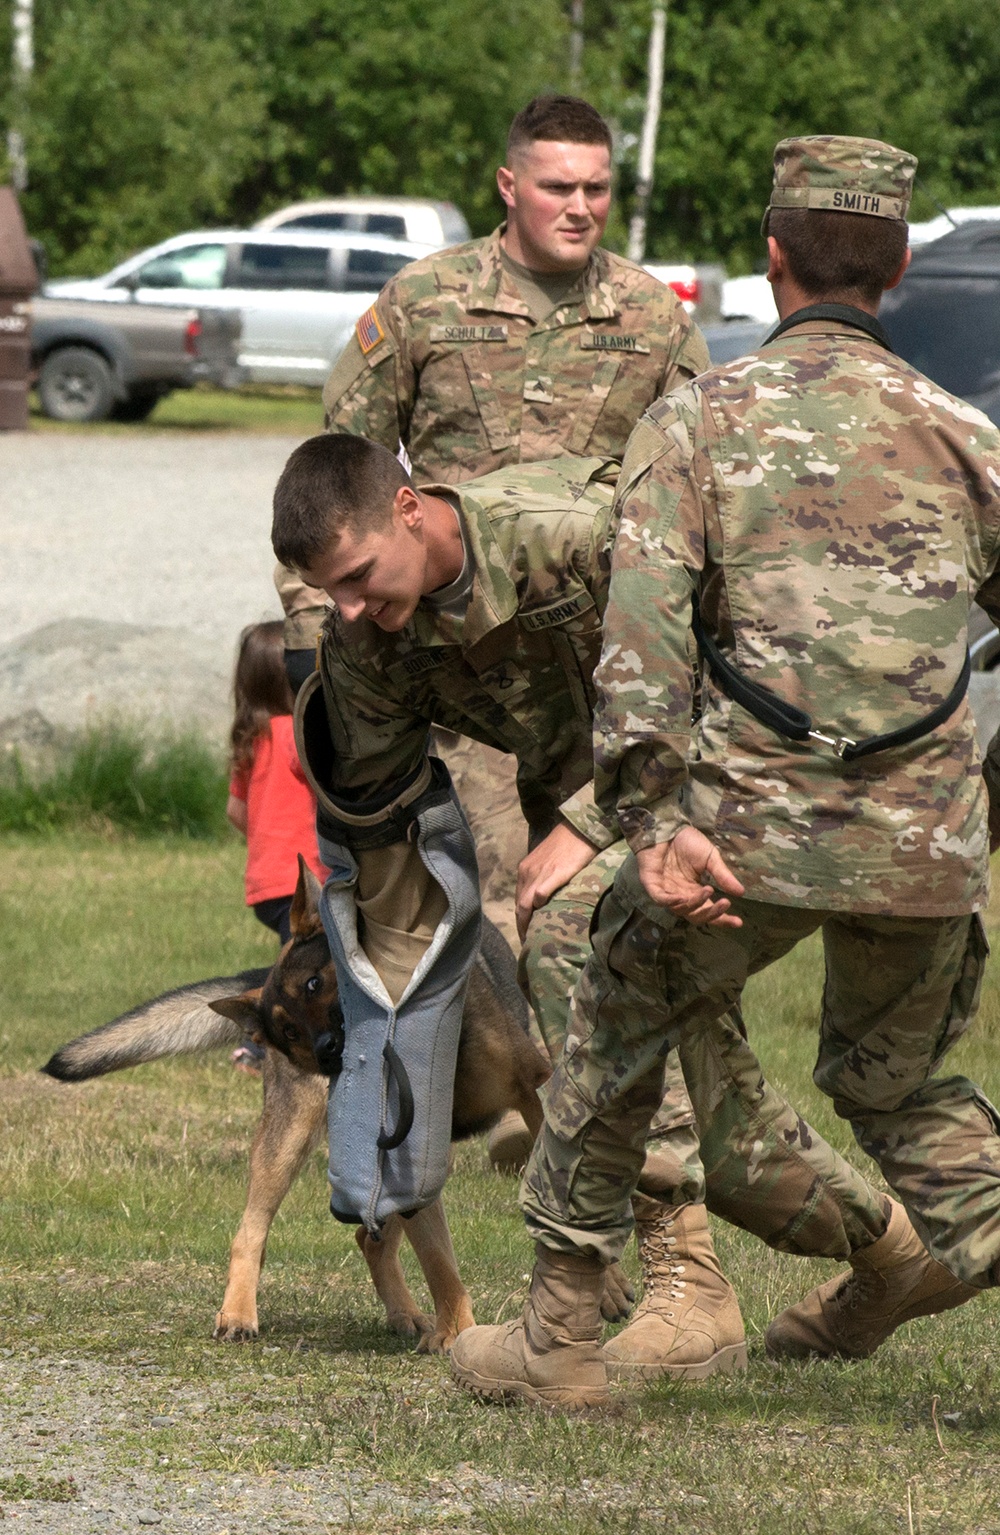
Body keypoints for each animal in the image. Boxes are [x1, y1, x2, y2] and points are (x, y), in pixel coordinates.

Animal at [41, 865, 556, 1356]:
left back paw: (405, 1314)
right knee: (252, 1231)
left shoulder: (530, 1092)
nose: (327, 1050)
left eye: (314, 983)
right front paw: (455, 1334)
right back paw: (239, 1314)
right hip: (287, 1141)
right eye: (288, 1031)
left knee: (368, 1239)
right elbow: (438, 1261)